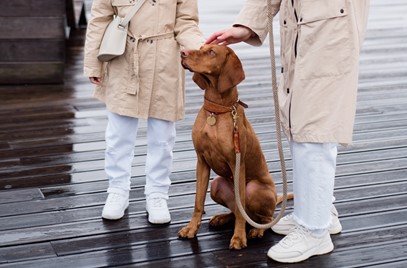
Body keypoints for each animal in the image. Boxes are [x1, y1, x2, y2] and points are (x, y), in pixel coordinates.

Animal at [178, 44, 280, 249]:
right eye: (200, 47)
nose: (182, 53)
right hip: (216, 184)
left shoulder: (237, 163)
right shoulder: (201, 162)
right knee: (236, 210)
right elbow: (198, 201)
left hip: (254, 190)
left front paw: (239, 237)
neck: (216, 111)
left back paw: (257, 230)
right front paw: (191, 228)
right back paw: (222, 218)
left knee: (264, 218)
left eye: (211, 52)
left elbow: (241, 214)